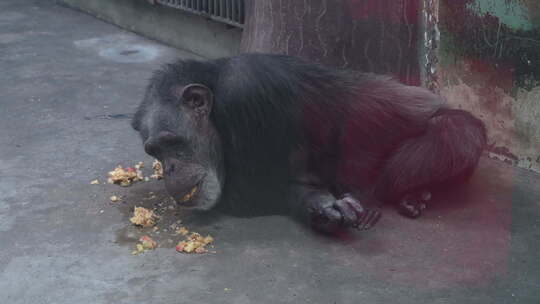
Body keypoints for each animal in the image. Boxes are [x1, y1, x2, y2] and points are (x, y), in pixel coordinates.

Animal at [133, 53, 488, 233]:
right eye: (155, 152)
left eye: (172, 143)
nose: (169, 168)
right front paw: (322, 207)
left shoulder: (246, 90)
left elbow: (251, 193)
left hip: (452, 123)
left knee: (454, 133)